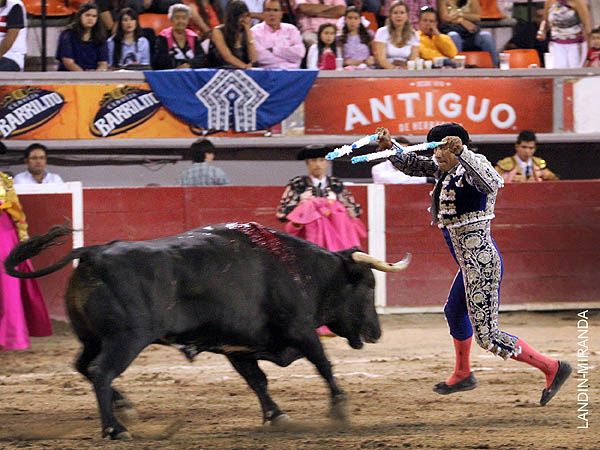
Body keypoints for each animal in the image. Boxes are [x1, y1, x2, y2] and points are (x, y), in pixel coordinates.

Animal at [4, 223, 410, 442]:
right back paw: (116, 429)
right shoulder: (300, 329)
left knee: (83, 367)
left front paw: (277, 416)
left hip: (92, 338)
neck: (301, 268)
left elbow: (258, 381)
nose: (376, 332)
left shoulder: (239, 348)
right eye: (368, 285)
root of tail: (92, 254)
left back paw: (126, 409)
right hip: (126, 339)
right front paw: (340, 408)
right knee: (101, 371)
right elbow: (323, 364)